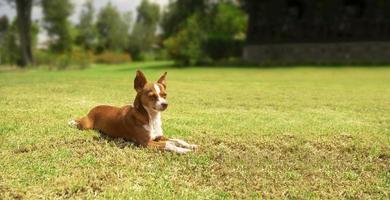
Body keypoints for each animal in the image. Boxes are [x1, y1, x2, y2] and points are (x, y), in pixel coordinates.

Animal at [68, 70, 198, 155]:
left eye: (164, 95)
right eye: (152, 96)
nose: (165, 104)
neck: (151, 118)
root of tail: (94, 108)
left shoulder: (159, 137)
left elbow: (177, 140)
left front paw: (190, 145)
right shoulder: (146, 143)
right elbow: (169, 144)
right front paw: (183, 150)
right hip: (87, 125)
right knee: (79, 121)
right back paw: (73, 123)